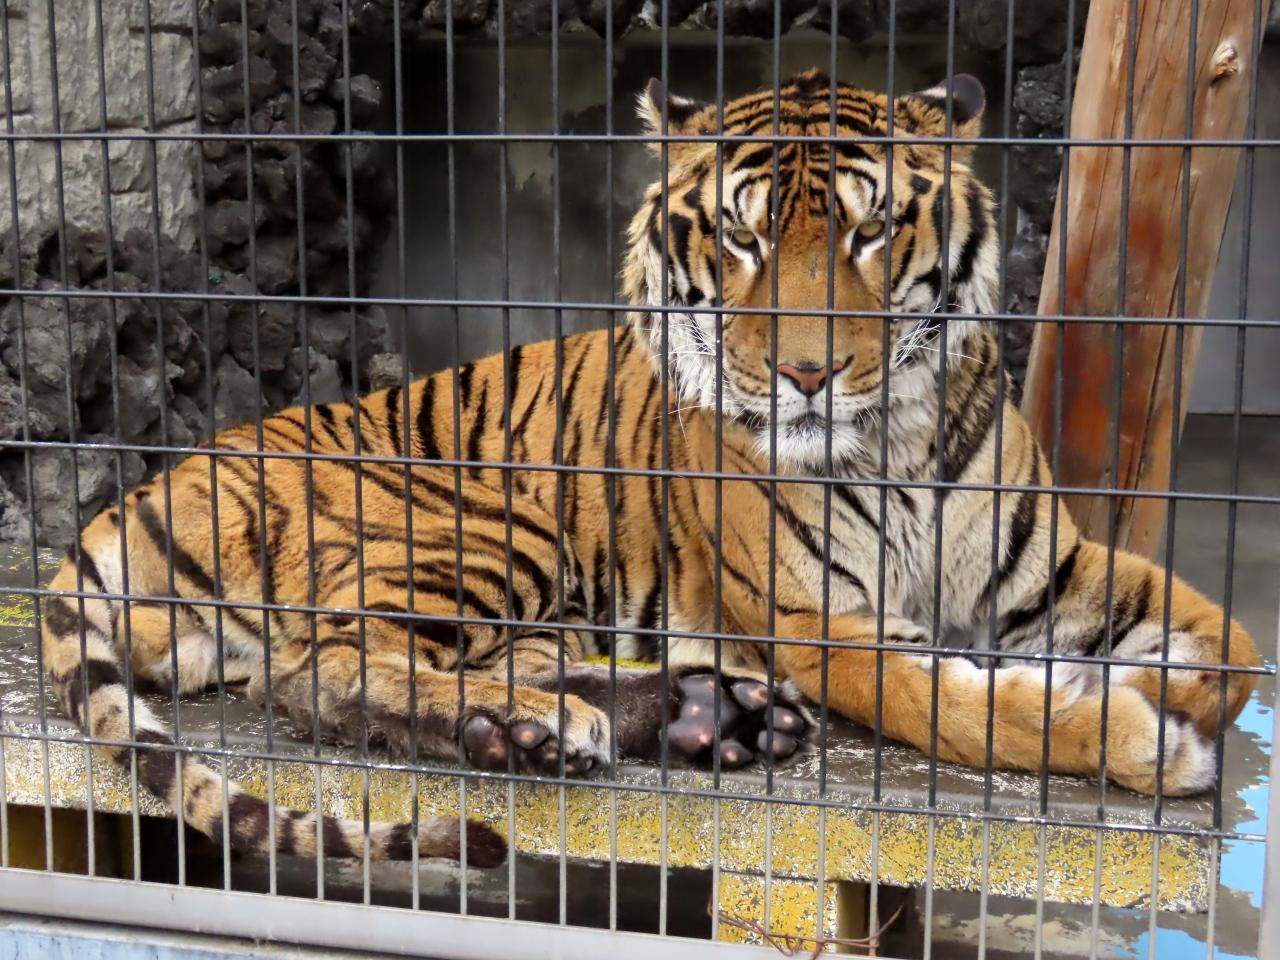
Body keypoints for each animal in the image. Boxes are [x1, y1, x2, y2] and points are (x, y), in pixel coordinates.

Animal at [37, 69, 1259, 870]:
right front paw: (1138, 736)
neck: (895, 435)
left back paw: (676, 719)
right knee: (318, 672)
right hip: (488, 523)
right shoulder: (818, 622)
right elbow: (956, 705)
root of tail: (138, 498)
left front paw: (1168, 682)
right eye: (743, 239)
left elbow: (1233, 652)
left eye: (868, 236)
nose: (809, 374)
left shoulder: (1052, 571)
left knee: (497, 667)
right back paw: (578, 726)